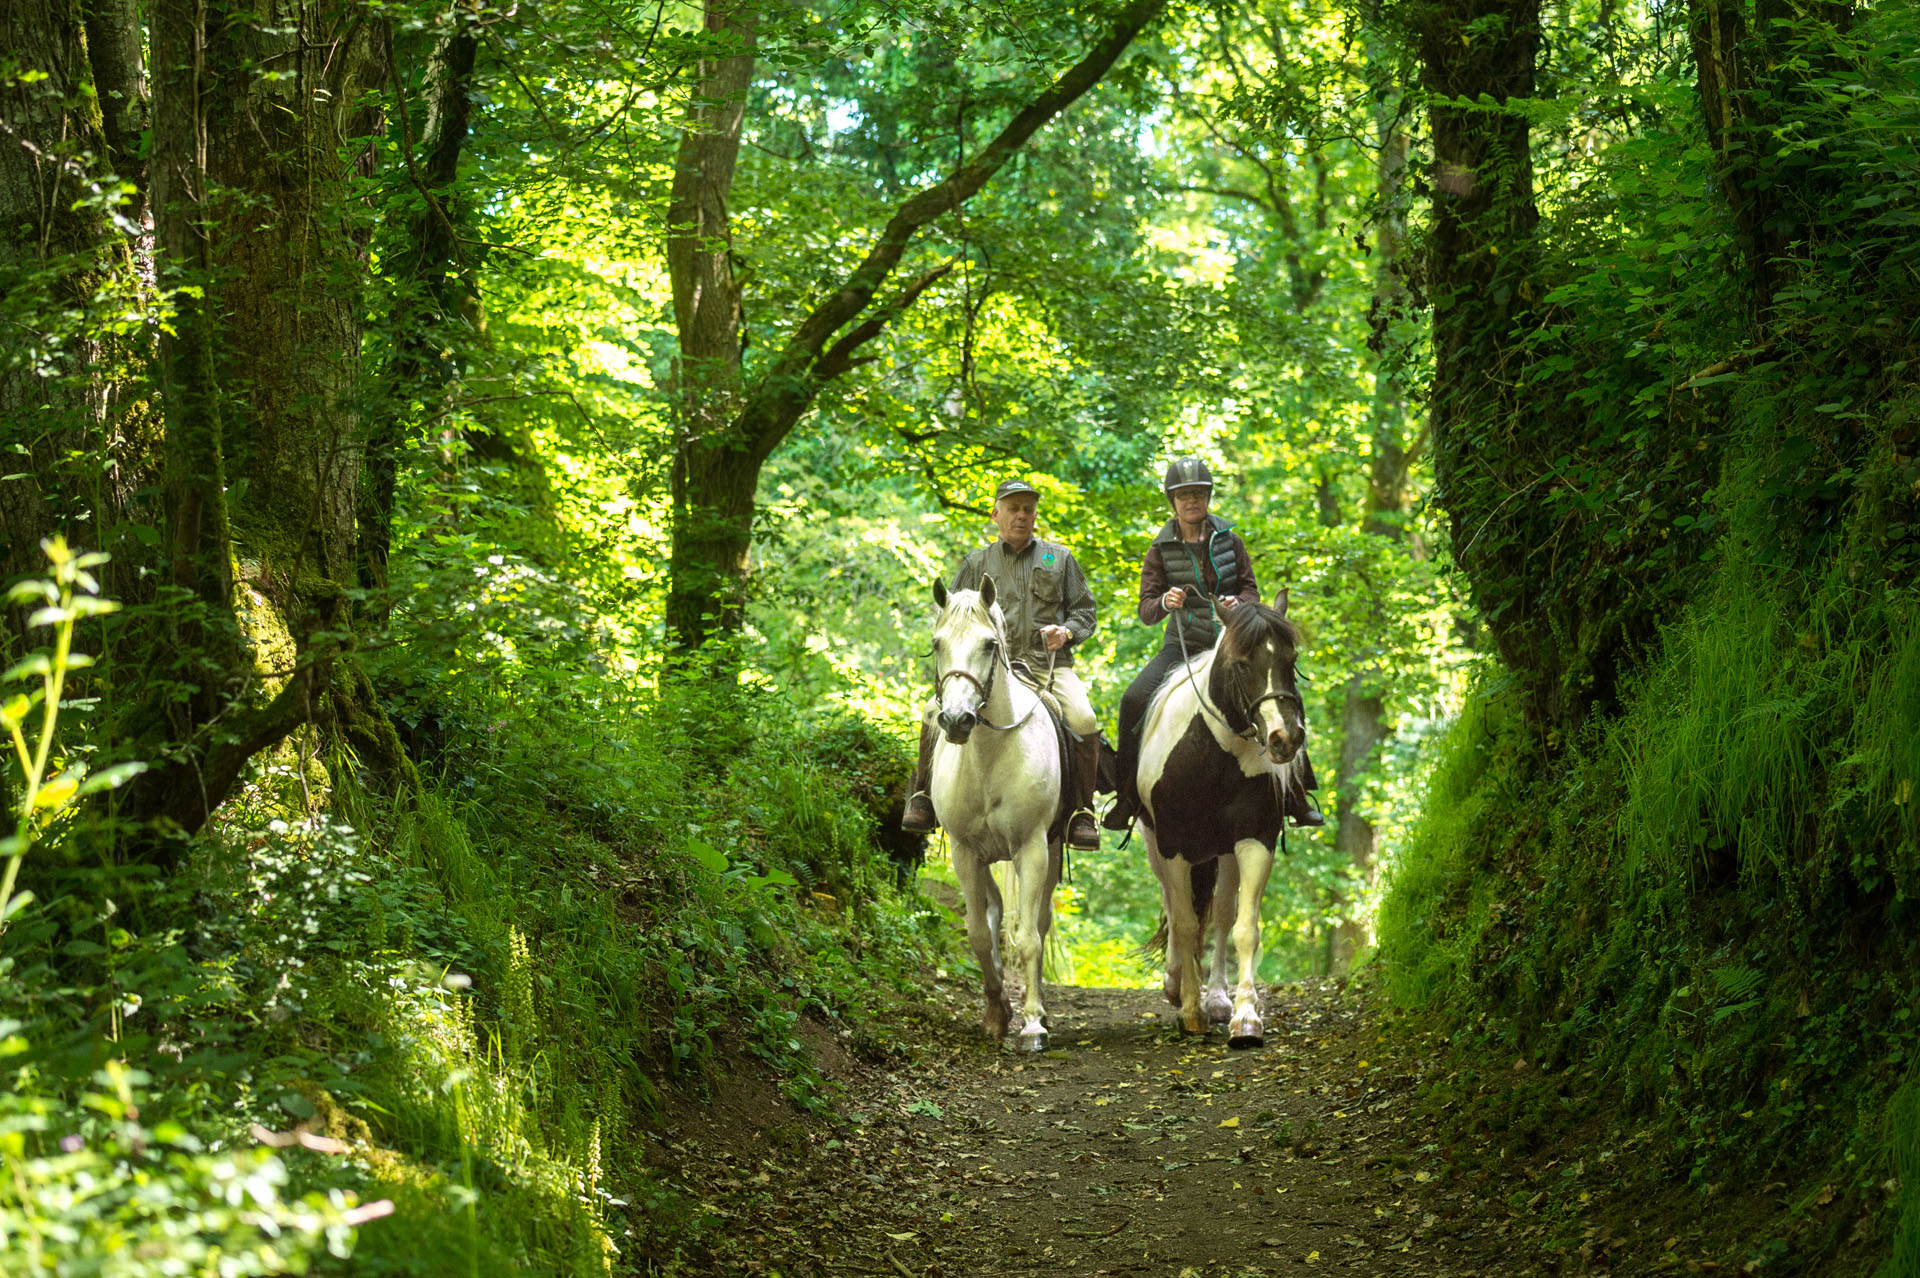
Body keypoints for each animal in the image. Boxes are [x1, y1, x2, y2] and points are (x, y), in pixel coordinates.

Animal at [925, 575, 1067, 1043]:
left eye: (989, 645)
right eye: (937, 643)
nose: (956, 720)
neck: (988, 755)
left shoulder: (1032, 849)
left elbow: (1028, 937)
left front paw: (1033, 1024)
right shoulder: (966, 853)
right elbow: (979, 934)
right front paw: (995, 1013)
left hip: (1051, 851)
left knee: (1038, 922)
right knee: (994, 914)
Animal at [1136, 587, 1305, 1043]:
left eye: (1291, 659)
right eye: (1242, 663)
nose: (1285, 738)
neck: (1215, 756)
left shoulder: (1254, 840)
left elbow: (1243, 927)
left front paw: (1244, 1017)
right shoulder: (1172, 845)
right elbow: (1184, 921)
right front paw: (1189, 1009)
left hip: (1224, 852)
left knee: (1223, 914)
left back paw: (1215, 998)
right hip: (1155, 845)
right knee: (1173, 905)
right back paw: (1177, 983)